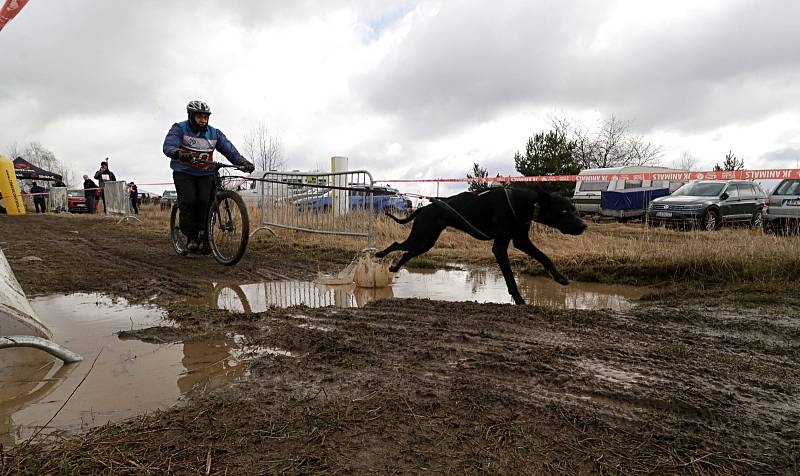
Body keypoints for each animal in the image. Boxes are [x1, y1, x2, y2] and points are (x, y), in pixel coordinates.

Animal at [376, 187, 588, 304]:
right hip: (420, 238)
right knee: (396, 244)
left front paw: (559, 277)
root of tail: (423, 208)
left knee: (407, 253)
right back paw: (379, 254)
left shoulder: (521, 241)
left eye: (574, 209)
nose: (584, 225)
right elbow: (510, 279)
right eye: (563, 211)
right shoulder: (500, 247)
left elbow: (544, 257)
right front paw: (520, 301)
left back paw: (393, 267)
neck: (526, 204)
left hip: (425, 242)